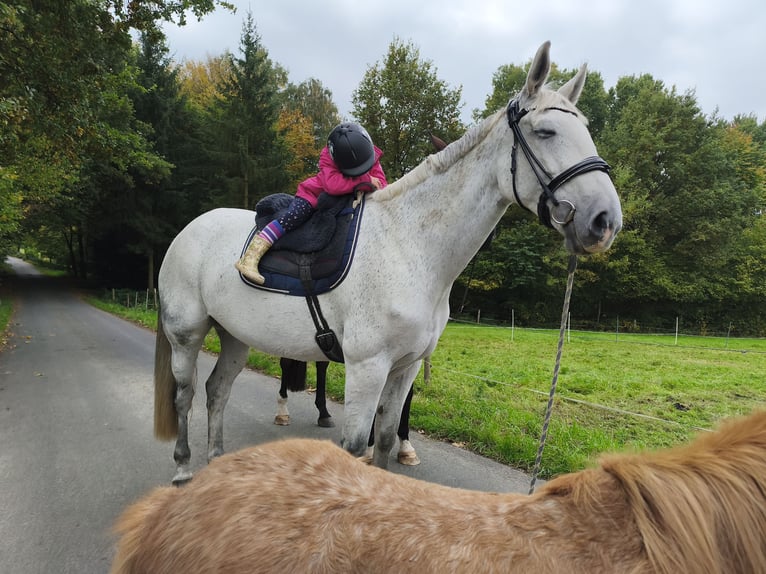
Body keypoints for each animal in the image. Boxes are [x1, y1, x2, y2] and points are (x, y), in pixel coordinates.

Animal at [275, 358, 420, 465]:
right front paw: (369, 448)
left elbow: (407, 398)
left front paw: (406, 447)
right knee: (286, 362)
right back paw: (282, 411)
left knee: (321, 365)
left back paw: (323, 413)